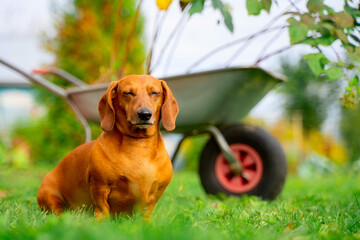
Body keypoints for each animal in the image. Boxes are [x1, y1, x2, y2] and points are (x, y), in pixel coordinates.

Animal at [36, 75, 179, 219]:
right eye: (128, 93)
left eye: (155, 92)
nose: (144, 114)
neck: (138, 144)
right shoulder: (100, 186)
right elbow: (102, 208)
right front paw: (101, 222)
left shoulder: (157, 192)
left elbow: (146, 211)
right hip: (48, 195)